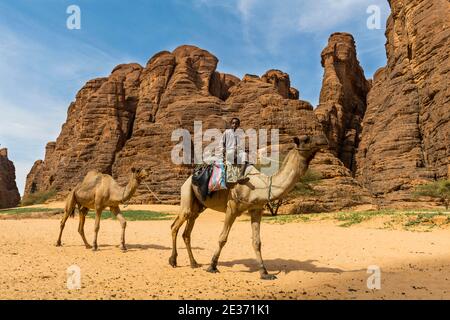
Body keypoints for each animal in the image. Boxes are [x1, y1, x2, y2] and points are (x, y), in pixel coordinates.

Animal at [169, 134, 326, 278]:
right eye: (306, 139)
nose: (323, 140)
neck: (261, 185)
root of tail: (190, 177)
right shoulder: (231, 208)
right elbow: (222, 238)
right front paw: (212, 266)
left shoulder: (256, 209)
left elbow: (257, 242)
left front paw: (265, 272)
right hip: (187, 194)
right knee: (175, 225)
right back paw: (173, 261)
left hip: (198, 207)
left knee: (187, 232)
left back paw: (193, 263)